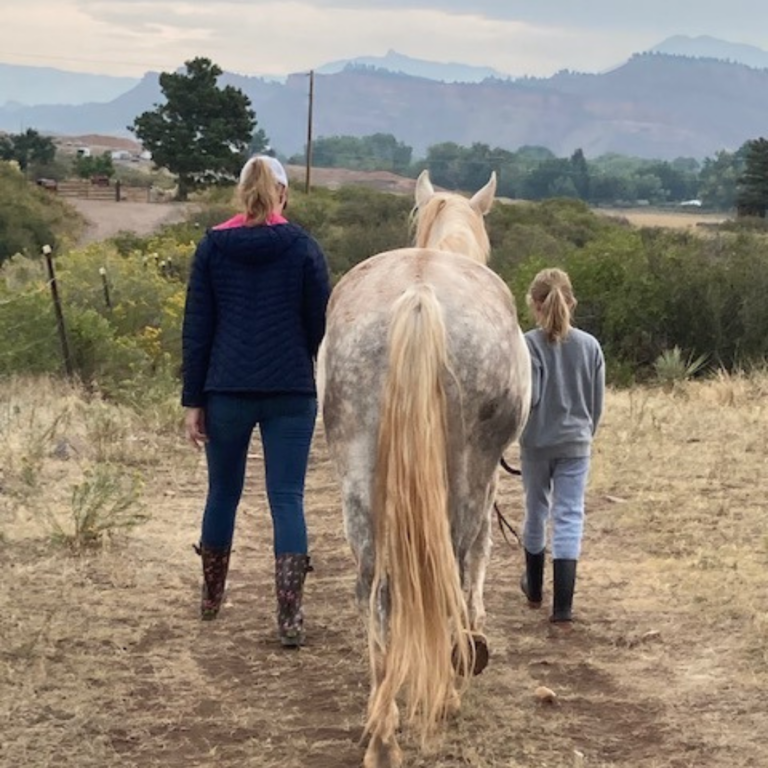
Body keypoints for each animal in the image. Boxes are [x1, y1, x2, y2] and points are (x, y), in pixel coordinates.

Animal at [316, 171, 532, 764]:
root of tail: (418, 294)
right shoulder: (487, 485)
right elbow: (478, 560)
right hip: (466, 478)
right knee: (451, 563)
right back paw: (451, 684)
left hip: (358, 477)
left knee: (373, 586)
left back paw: (382, 731)